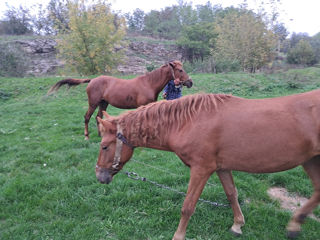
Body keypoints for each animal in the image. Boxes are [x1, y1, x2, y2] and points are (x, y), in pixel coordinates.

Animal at [47, 59, 192, 139]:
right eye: (180, 70)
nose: (190, 82)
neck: (149, 83)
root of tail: (92, 80)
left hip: (103, 103)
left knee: (98, 117)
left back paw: (101, 135)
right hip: (93, 103)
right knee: (87, 117)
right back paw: (87, 137)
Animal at [96, 90, 320, 240]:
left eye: (104, 146)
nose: (99, 176)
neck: (188, 121)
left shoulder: (201, 169)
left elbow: (188, 206)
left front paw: (178, 236)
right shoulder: (221, 167)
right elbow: (231, 194)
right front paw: (237, 224)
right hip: (310, 160)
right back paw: (295, 225)